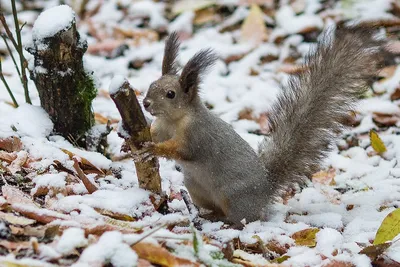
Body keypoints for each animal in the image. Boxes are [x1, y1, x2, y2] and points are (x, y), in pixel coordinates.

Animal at [140, 25, 388, 226]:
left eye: (170, 94)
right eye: (151, 84)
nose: (146, 103)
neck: (173, 120)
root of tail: (266, 190)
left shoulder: (196, 135)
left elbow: (181, 150)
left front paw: (152, 149)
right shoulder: (161, 127)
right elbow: (154, 134)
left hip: (233, 196)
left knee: (242, 219)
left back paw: (224, 220)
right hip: (196, 188)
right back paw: (206, 214)